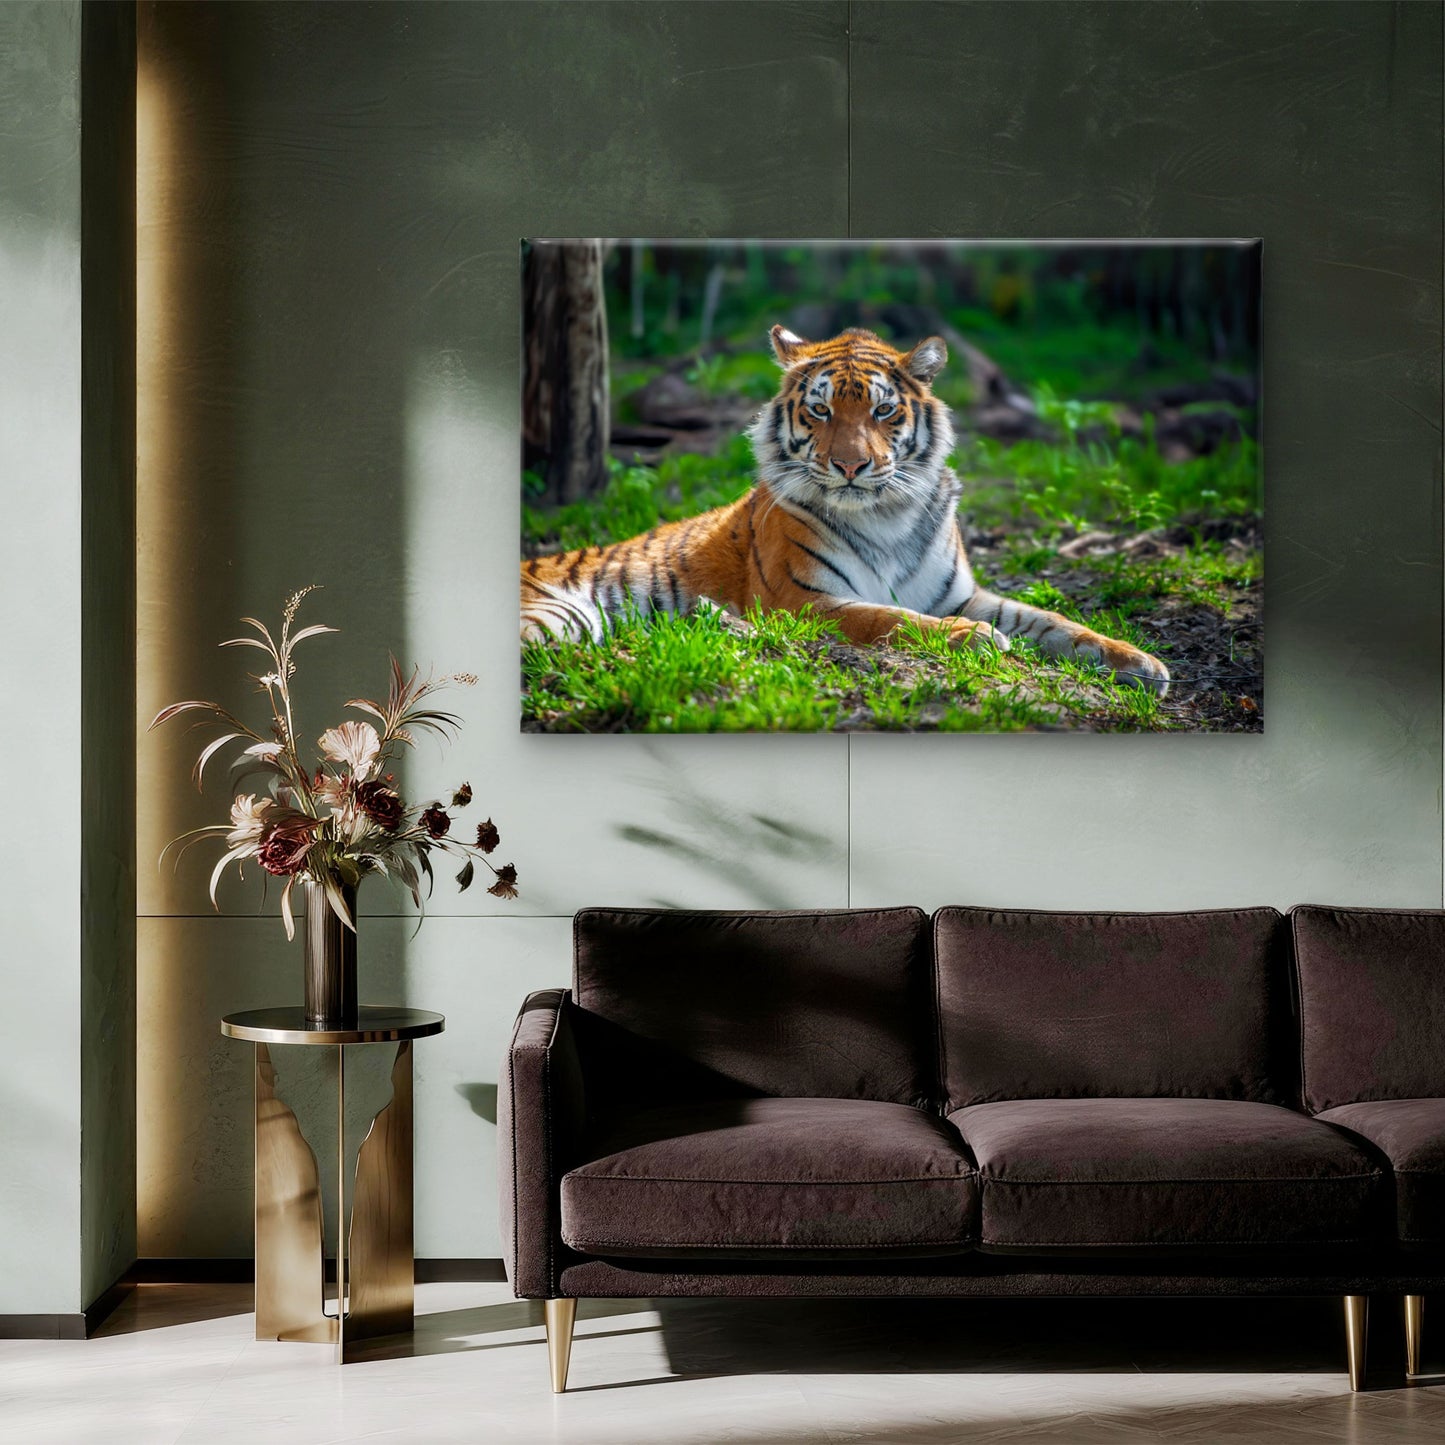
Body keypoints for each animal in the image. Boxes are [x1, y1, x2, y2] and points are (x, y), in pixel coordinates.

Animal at [520, 325, 1170, 695]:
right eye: (821, 410)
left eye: (883, 411)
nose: (852, 466)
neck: (887, 516)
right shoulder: (802, 601)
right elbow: (890, 619)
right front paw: (975, 639)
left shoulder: (959, 593)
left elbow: (1051, 621)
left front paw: (1139, 661)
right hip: (554, 619)